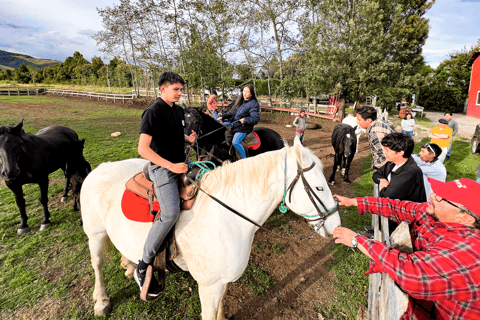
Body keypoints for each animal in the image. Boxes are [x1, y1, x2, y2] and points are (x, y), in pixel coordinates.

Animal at [79, 139, 342, 320]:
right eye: (319, 188)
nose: (336, 225)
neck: (227, 217)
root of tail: (101, 167)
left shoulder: (221, 281)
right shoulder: (208, 286)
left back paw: (131, 267)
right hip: (95, 235)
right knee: (97, 264)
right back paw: (101, 301)